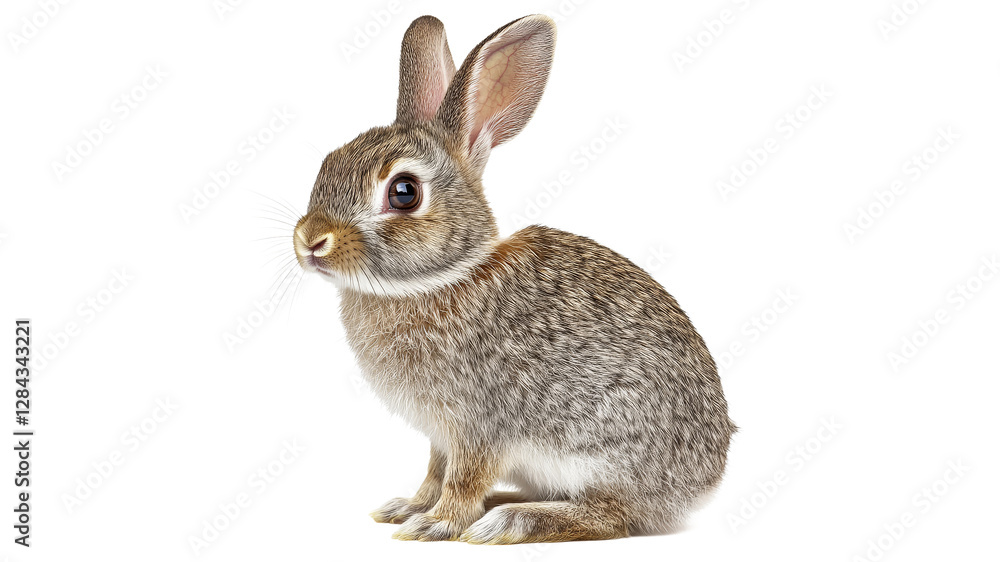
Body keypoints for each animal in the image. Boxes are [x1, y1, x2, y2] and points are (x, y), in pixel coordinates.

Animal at [292, 14, 736, 543]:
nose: (310, 240)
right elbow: (435, 471)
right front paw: (409, 508)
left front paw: (438, 524)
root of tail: (704, 482)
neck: (442, 278)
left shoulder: (479, 423)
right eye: (327, 163)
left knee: (613, 514)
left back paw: (513, 519)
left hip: (603, 449)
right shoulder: (441, 435)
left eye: (404, 192)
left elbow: (463, 478)